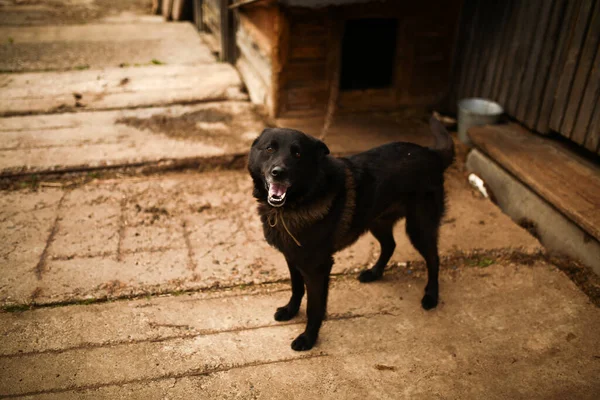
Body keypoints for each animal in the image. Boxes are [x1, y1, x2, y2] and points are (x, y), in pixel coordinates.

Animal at [248, 115, 454, 350]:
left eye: (297, 154)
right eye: (269, 148)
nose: (278, 173)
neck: (299, 201)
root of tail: (432, 154)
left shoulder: (317, 268)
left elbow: (314, 307)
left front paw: (308, 338)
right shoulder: (292, 258)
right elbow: (296, 288)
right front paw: (290, 311)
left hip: (419, 227)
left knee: (434, 259)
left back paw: (431, 295)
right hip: (377, 221)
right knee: (390, 245)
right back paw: (374, 273)